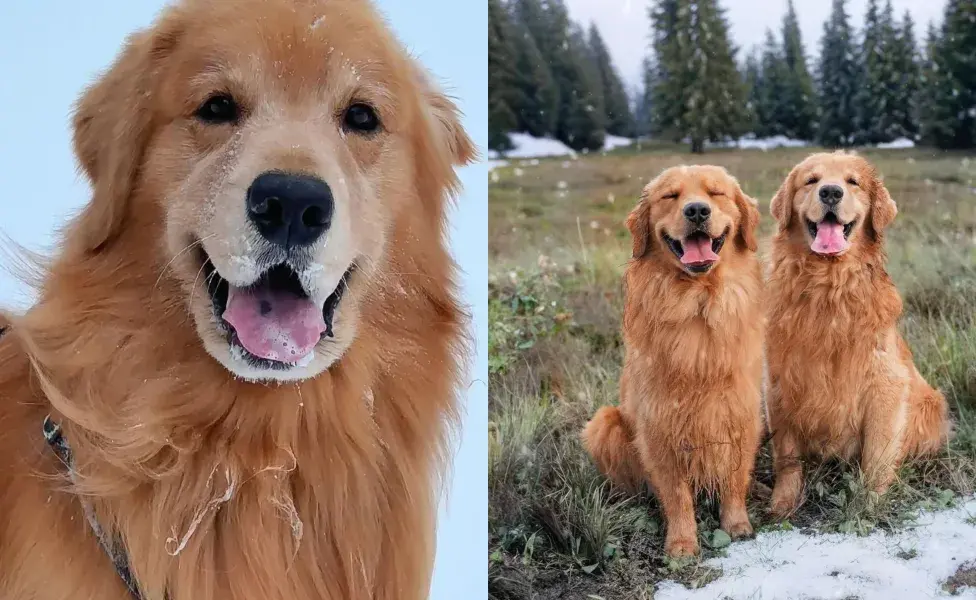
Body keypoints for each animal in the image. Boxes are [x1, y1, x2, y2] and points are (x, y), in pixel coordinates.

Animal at [584, 165, 768, 556]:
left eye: (716, 193)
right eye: (670, 196)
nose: (697, 211)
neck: (698, 300)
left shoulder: (740, 413)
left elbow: (734, 480)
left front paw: (737, 524)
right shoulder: (660, 425)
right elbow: (676, 494)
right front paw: (682, 543)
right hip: (603, 423)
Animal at [768, 152, 948, 516]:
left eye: (853, 182)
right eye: (811, 180)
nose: (830, 192)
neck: (828, 289)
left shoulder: (884, 386)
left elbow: (877, 456)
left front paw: (869, 502)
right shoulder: (781, 384)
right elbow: (788, 458)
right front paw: (783, 503)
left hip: (930, 404)